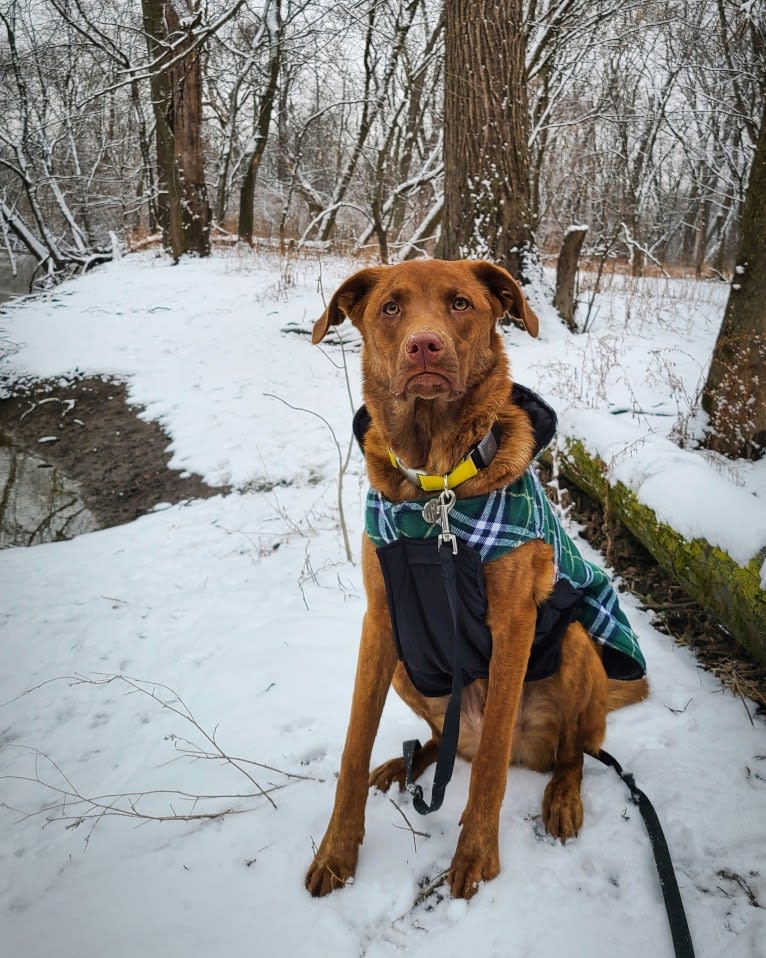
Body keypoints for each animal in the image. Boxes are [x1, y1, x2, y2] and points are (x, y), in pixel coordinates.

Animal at [306, 256, 648, 900]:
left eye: (460, 303)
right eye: (391, 307)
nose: (425, 345)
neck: (436, 485)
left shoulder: (513, 623)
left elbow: (489, 767)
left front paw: (476, 857)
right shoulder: (382, 618)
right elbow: (353, 747)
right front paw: (337, 853)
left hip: (571, 644)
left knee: (572, 753)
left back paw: (561, 797)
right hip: (410, 670)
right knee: (443, 748)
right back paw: (403, 765)